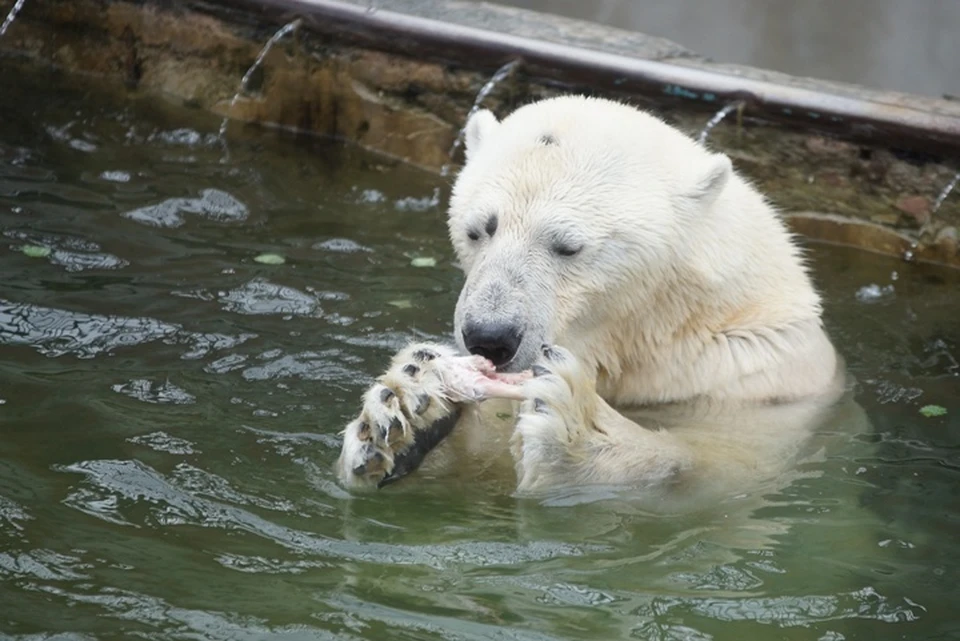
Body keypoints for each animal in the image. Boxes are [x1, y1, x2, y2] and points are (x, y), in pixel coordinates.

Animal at [334, 96, 844, 504]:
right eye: (478, 229)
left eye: (567, 246)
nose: (490, 337)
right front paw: (407, 407)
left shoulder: (749, 374)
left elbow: (719, 465)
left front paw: (577, 426)